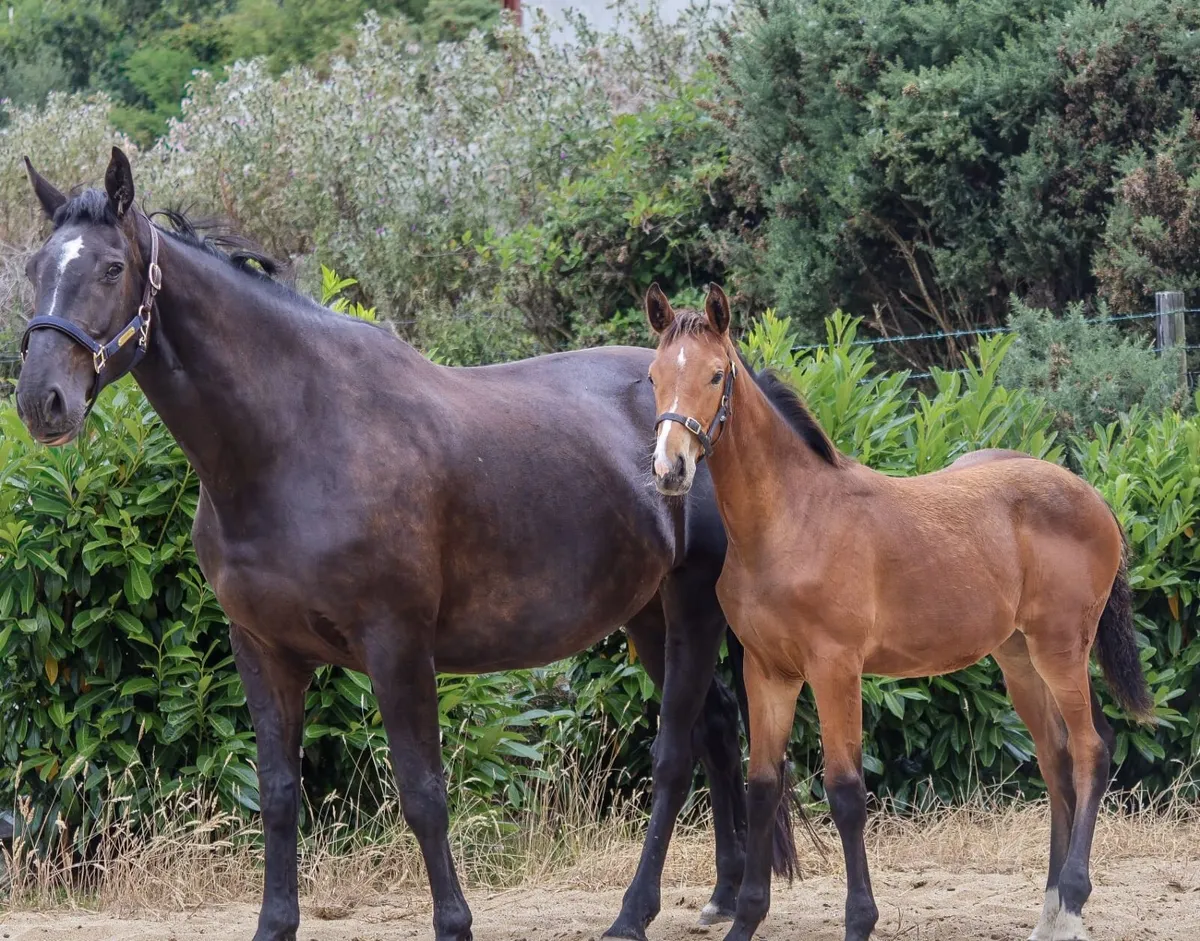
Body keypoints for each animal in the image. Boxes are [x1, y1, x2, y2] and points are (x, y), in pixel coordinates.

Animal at [13, 148, 805, 941]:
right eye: (34, 268)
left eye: (112, 267)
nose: (40, 400)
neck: (296, 437)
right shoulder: (263, 648)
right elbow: (277, 793)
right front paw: (275, 924)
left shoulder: (396, 644)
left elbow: (422, 791)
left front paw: (454, 922)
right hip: (647, 612)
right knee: (716, 727)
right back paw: (724, 894)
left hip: (692, 603)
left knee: (675, 752)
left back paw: (635, 913)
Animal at [639, 283, 1155, 941]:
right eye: (653, 377)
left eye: (714, 374)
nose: (670, 470)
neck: (791, 520)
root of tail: (1093, 496)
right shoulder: (768, 670)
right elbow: (762, 786)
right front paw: (745, 919)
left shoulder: (835, 667)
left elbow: (845, 792)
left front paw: (860, 920)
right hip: (1018, 659)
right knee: (1057, 760)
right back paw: (1046, 913)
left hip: (1060, 647)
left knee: (1092, 751)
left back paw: (1070, 905)